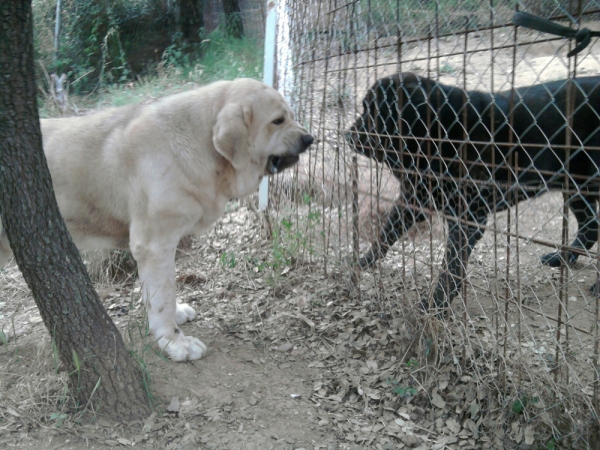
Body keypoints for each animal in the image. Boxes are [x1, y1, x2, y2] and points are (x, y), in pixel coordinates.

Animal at [0, 78, 316, 362]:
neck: (202, 146)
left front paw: (175, 315)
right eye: (278, 120)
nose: (310, 138)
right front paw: (174, 343)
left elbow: (163, 289)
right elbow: (163, 296)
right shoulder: (154, 244)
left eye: (290, 116)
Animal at [344, 73, 600, 312]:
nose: (347, 135)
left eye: (376, 111)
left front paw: (436, 306)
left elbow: (452, 267)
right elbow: (385, 233)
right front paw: (363, 262)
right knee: (591, 226)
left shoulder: (468, 220)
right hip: (575, 189)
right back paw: (562, 258)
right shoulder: (415, 201)